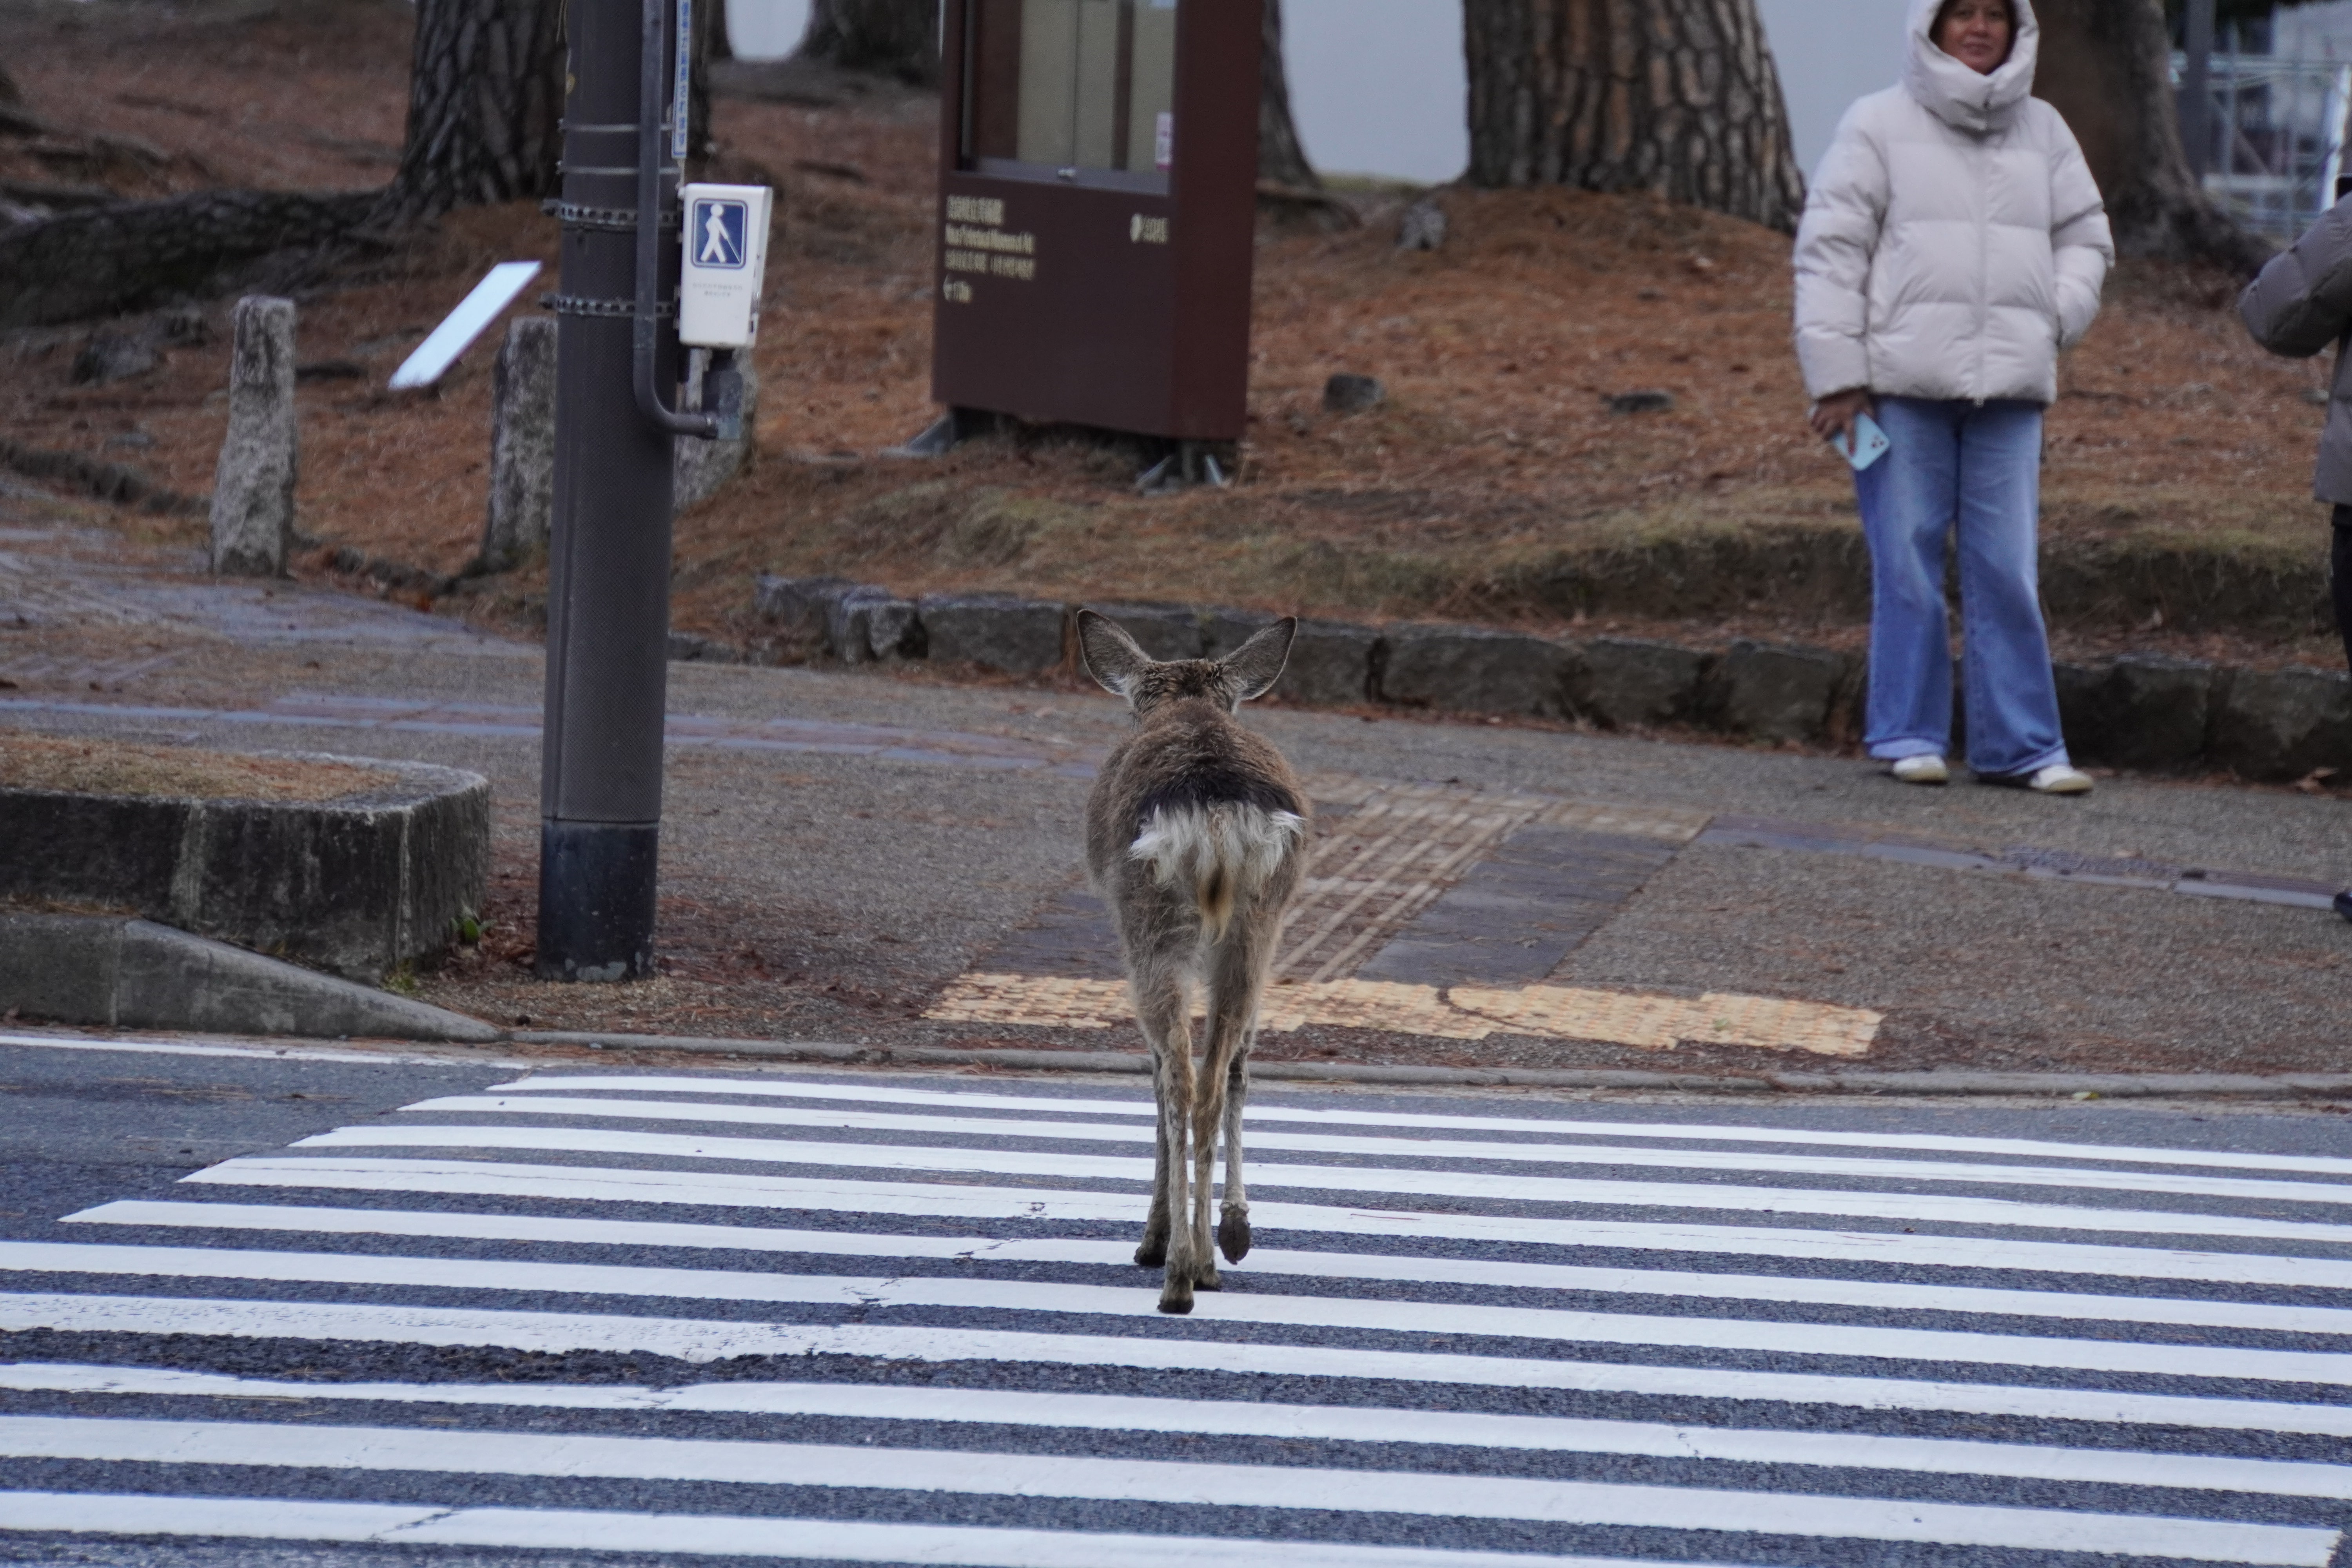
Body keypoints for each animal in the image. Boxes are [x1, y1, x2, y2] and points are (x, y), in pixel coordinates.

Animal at [1077, 609, 1310, 1316]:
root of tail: (1215, 817)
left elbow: (1156, 1074)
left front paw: (1154, 1238)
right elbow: (1238, 1066)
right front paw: (1234, 1230)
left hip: (1149, 923)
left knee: (1178, 1077)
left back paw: (1177, 1270)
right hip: (1258, 925)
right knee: (1219, 1073)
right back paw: (1214, 1254)